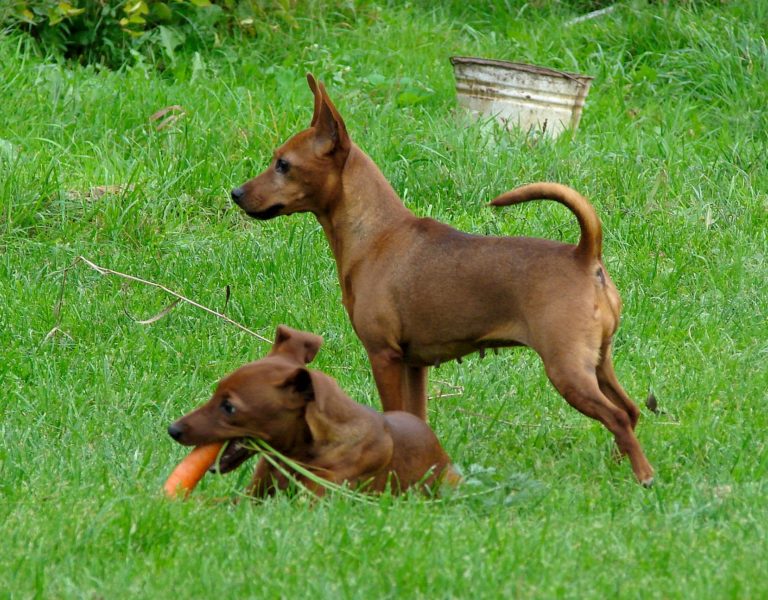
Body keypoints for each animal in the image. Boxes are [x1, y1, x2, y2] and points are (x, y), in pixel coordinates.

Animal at [230, 76, 656, 488]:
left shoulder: (384, 355)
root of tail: (585, 254)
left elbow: (393, 413)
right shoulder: (414, 364)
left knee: (617, 416)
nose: (235, 193)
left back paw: (644, 476)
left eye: (283, 165)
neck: (376, 234)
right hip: (598, 363)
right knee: (630, 410)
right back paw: (619, 465)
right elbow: (416, 417)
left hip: (567, 370)